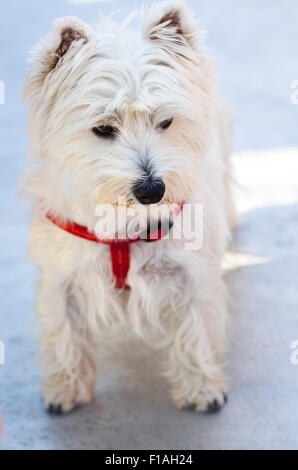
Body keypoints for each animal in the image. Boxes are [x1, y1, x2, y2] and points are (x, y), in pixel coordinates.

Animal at [22, 1, 236, 414]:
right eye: (103, 128)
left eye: (166, 121)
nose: (152, 190)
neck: (123, 221)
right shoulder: (62, 275)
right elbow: (64, 331)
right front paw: (65, 388)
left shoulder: (191, 271)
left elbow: (195, 329)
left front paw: (202, 388)